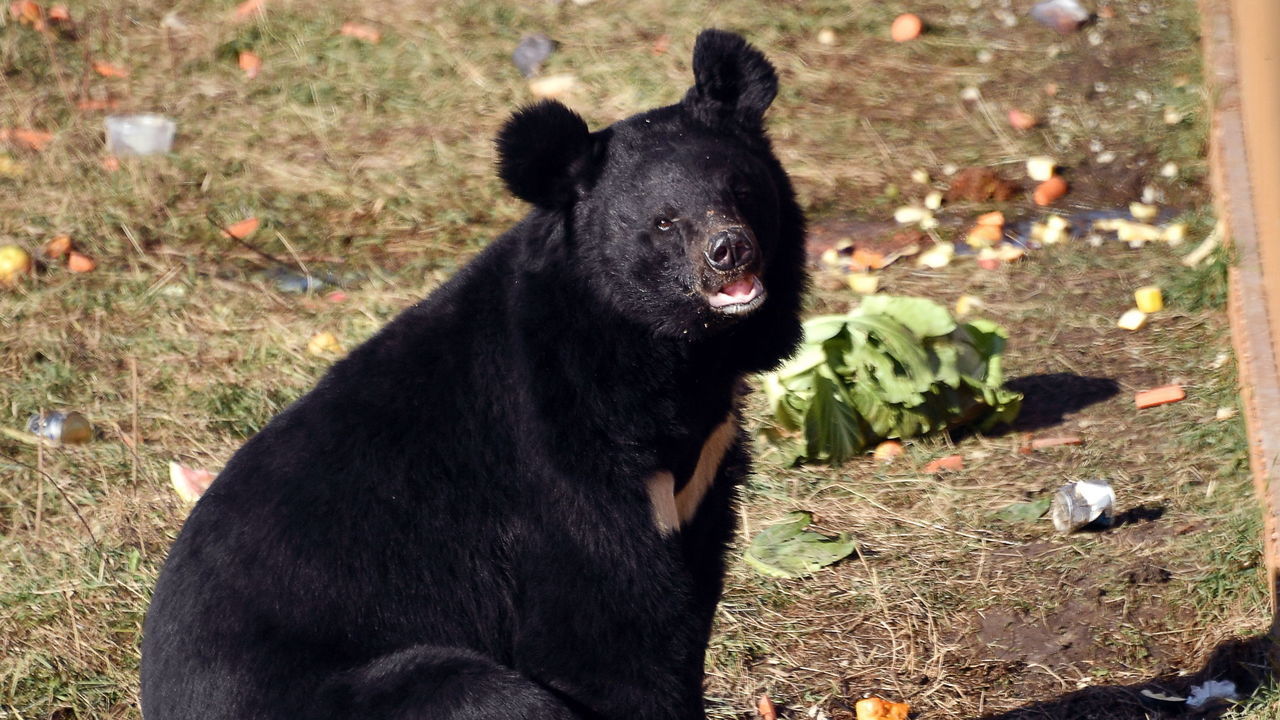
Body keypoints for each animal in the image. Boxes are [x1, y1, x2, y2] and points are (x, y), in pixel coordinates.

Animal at [141, 29, 806, 720]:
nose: (729, 250)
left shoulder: (702, 481)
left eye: (740, 189)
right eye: (665, 221)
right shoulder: (564, 468)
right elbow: (603, 623)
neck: (672, 353)